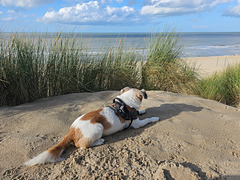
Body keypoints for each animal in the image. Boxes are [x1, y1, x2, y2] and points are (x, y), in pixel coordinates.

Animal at [24, 87, 160, 166]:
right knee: (81, 146)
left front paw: (142, 111)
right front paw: (154, 118)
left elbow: (140, 112)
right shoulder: (137, 124)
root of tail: (71, 131)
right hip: (98, 128)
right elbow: (147, 120)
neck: (125, 104)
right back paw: (99, 141)